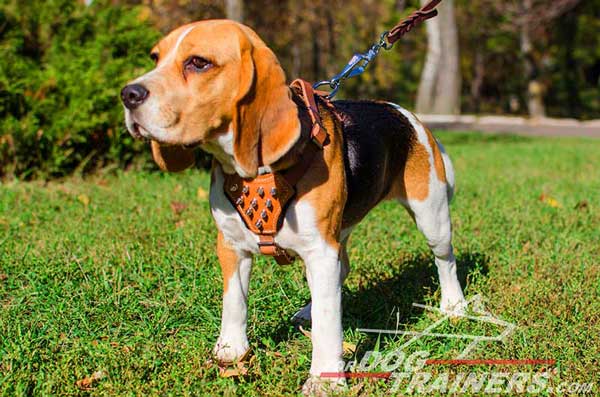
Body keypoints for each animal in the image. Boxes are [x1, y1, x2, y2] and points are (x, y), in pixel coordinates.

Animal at [122, 19, 466, 392]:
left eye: (198, 63)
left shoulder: (320, 250)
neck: (257, 173)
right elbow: (234, 301)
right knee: (341, 270)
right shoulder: (231, 245)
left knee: (445, 260)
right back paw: (307, 310)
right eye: (155, 58)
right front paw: (231, 350)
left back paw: (454, 305)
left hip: (430, 217)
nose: (128, 94)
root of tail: (407, 115)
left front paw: (326, 379)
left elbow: (329, 324)